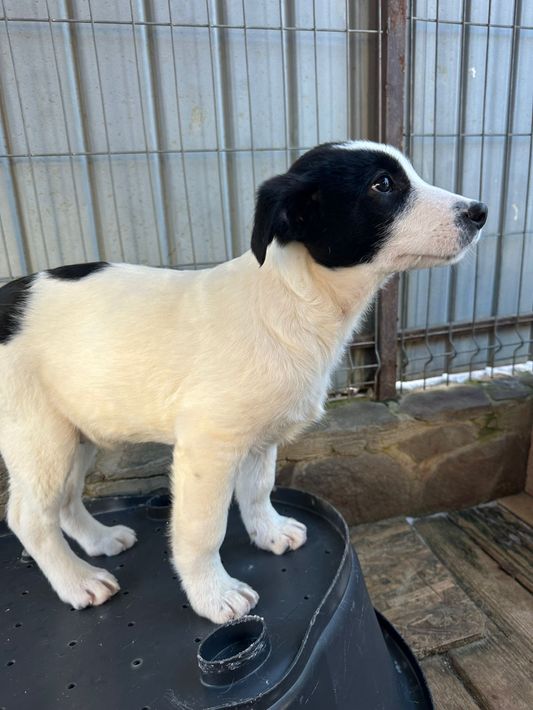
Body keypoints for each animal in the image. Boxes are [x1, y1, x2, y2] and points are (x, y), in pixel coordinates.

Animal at [0, 141, 487, 624]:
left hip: (76, 431)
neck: (297, 299)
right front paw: (213, 595)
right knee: (28, 518)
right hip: (38, 436)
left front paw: (268, 533)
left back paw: (99, 541)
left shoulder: (259, 437)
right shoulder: (207, 446)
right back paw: (76, 581)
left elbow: (258, 489)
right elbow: (203, 531)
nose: (480, 211)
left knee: (64, 501)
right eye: (382, 184)